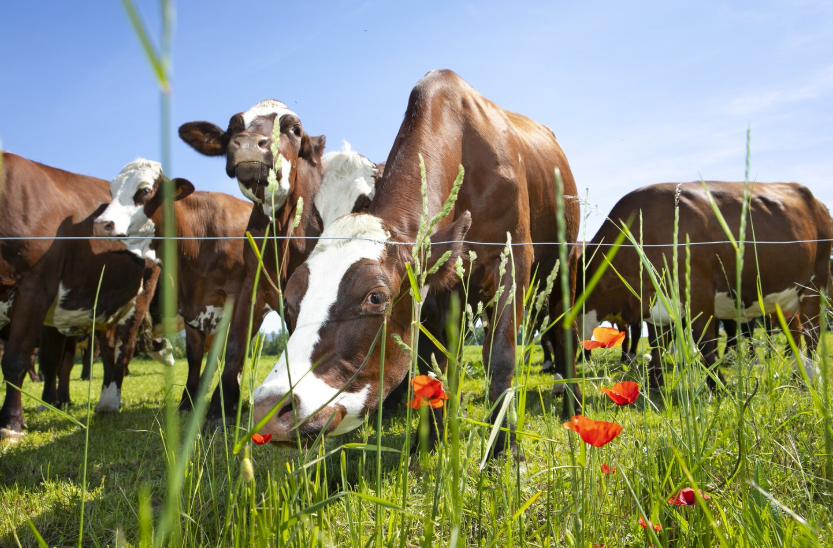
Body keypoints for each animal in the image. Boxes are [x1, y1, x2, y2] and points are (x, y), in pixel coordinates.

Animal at [0, 153, 159, 440]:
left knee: (124, 348)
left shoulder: (35, 287)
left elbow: (16, 359)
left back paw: (110, 401)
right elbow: (51, 361)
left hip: (141, 295)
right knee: (107, 350)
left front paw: (11, 423)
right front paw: (50, 402)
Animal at [93, 159, 254, 409]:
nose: (102, 224)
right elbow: (195, 355)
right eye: (112, 190)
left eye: (145, 190)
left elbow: (229, 347)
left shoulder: (235, 298)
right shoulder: (189, 305)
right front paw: (188, 401)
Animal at [250, 69, 580, 457]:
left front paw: (504, 448)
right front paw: (430, 444)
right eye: (290, 301)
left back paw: (572, 406)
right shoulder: (432, 292)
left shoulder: (512, 257)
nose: (269, 409)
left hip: (564, 267)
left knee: (566, 333)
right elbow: (428, 366)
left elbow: (500, 356)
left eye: (375, 297)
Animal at [578, 181, 831, 389]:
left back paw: (807, 378)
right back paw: (798, 377)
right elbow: (657, 343)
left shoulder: (698, 292)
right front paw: (655, 384)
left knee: (812, 330)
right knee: (794, 330)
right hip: (782, 299)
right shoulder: (655, 304)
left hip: (815, 282)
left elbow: (705, 340)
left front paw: (718, 386)